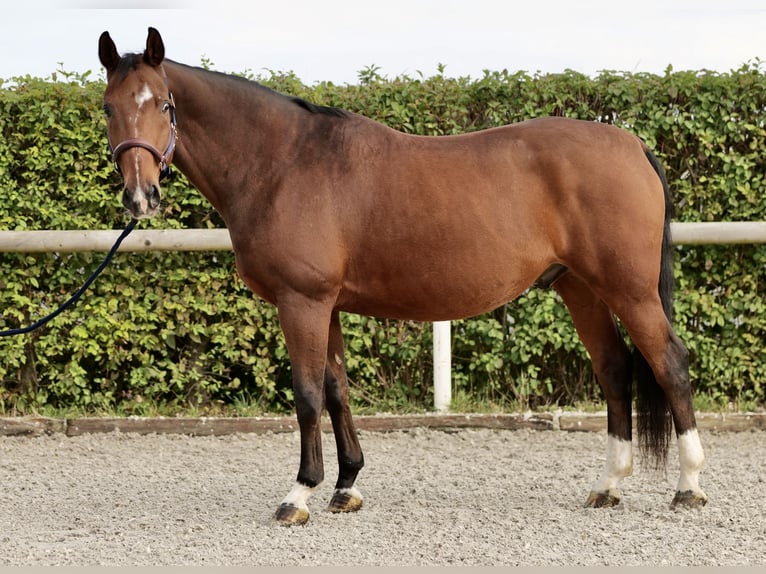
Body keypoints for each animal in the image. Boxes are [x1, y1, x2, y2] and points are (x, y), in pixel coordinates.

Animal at [99, 29, 712, 528]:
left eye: (163, 104)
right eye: (107, 108)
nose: (140, 196)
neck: (283, 162)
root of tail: (631, 143)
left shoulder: (302, 302)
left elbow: (306, 394)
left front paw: (299, 494)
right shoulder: (328, 305)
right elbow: (337, 390)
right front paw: (346, 486)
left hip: (629, 290)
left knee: (670, 364)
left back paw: (688, 487)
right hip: (580, 287)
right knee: (614, 369)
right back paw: (607, 486)